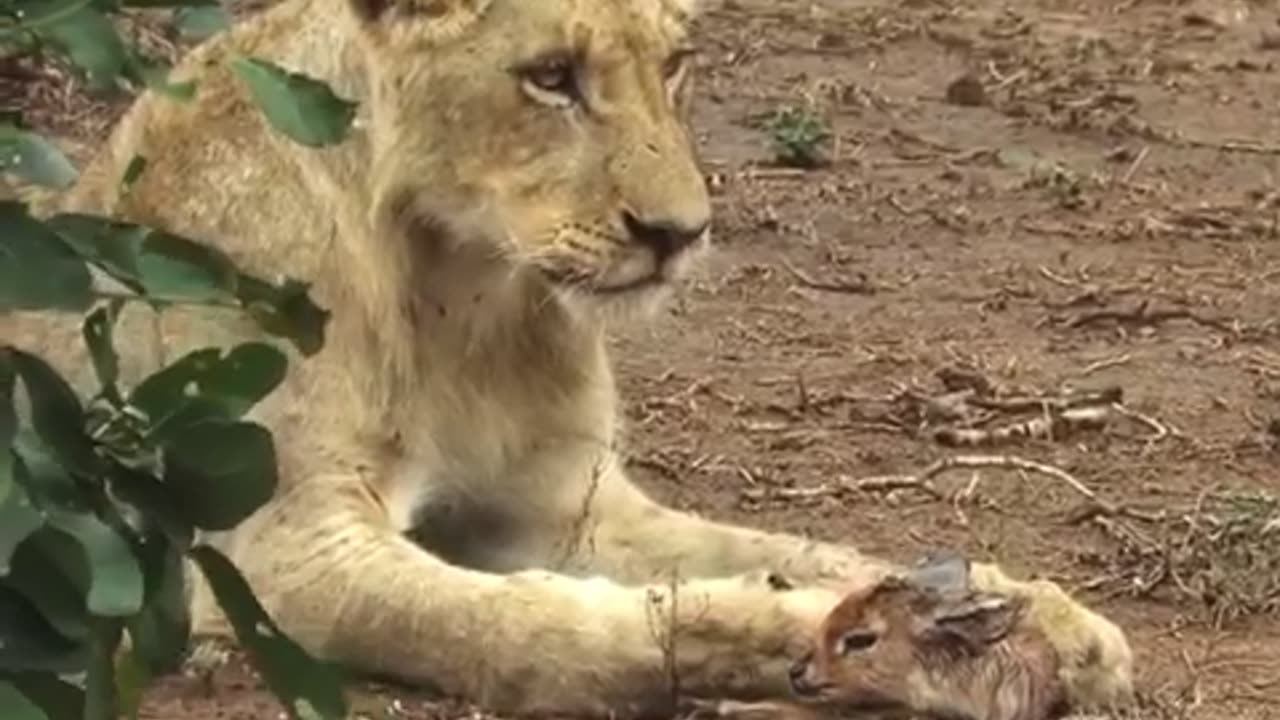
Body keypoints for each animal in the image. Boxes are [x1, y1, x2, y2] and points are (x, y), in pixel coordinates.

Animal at [2, 0, 1134, 715]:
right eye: (550, 79)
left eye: (671, 64)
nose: (679, 234)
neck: (466, 293)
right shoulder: (283, 554)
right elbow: (548, 624)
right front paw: (830, 636)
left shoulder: (565, 506)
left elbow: (800, 549)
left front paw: (1049, 620)